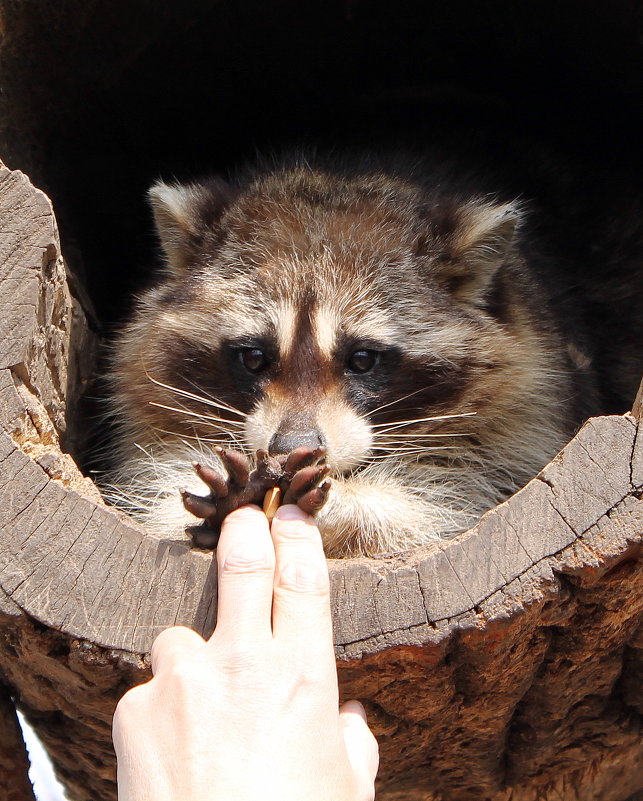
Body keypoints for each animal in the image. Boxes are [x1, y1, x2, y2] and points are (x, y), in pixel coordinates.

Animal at [103, 155, 612, 556]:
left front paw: (350, 506)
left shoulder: (526, 410)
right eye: (253, 357)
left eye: (362, 359)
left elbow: (450, 504)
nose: (289, 450)